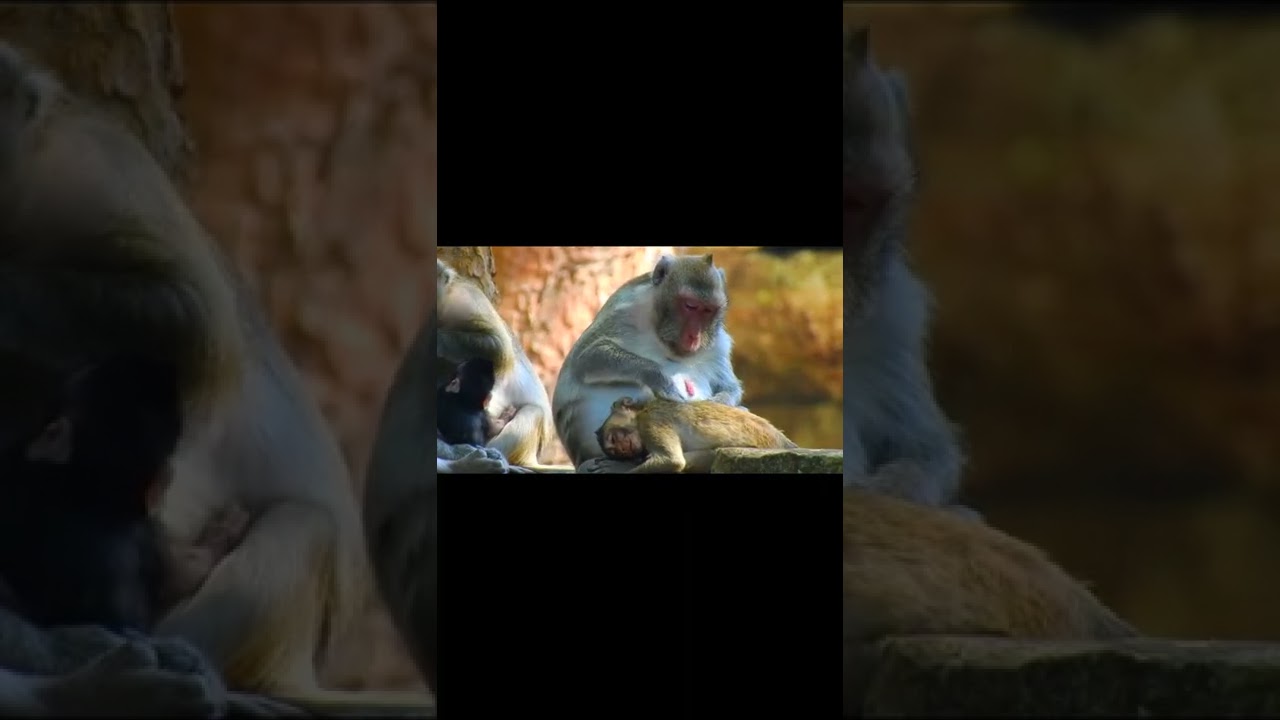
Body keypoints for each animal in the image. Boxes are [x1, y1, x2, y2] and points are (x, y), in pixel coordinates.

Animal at [553, 253, 746, 473]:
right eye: (690, 306)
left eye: (708, 310)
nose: (694, 337)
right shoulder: (624, 311)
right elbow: (586, 357)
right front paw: (660, 378)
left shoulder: (718, 343)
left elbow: (729, 386)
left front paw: (720, 402)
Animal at [596, 396, 797, 473]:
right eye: (615, 452)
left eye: (614, 439)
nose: (622, 449)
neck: (641, 413)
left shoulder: (652, 422)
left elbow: (671, 461)